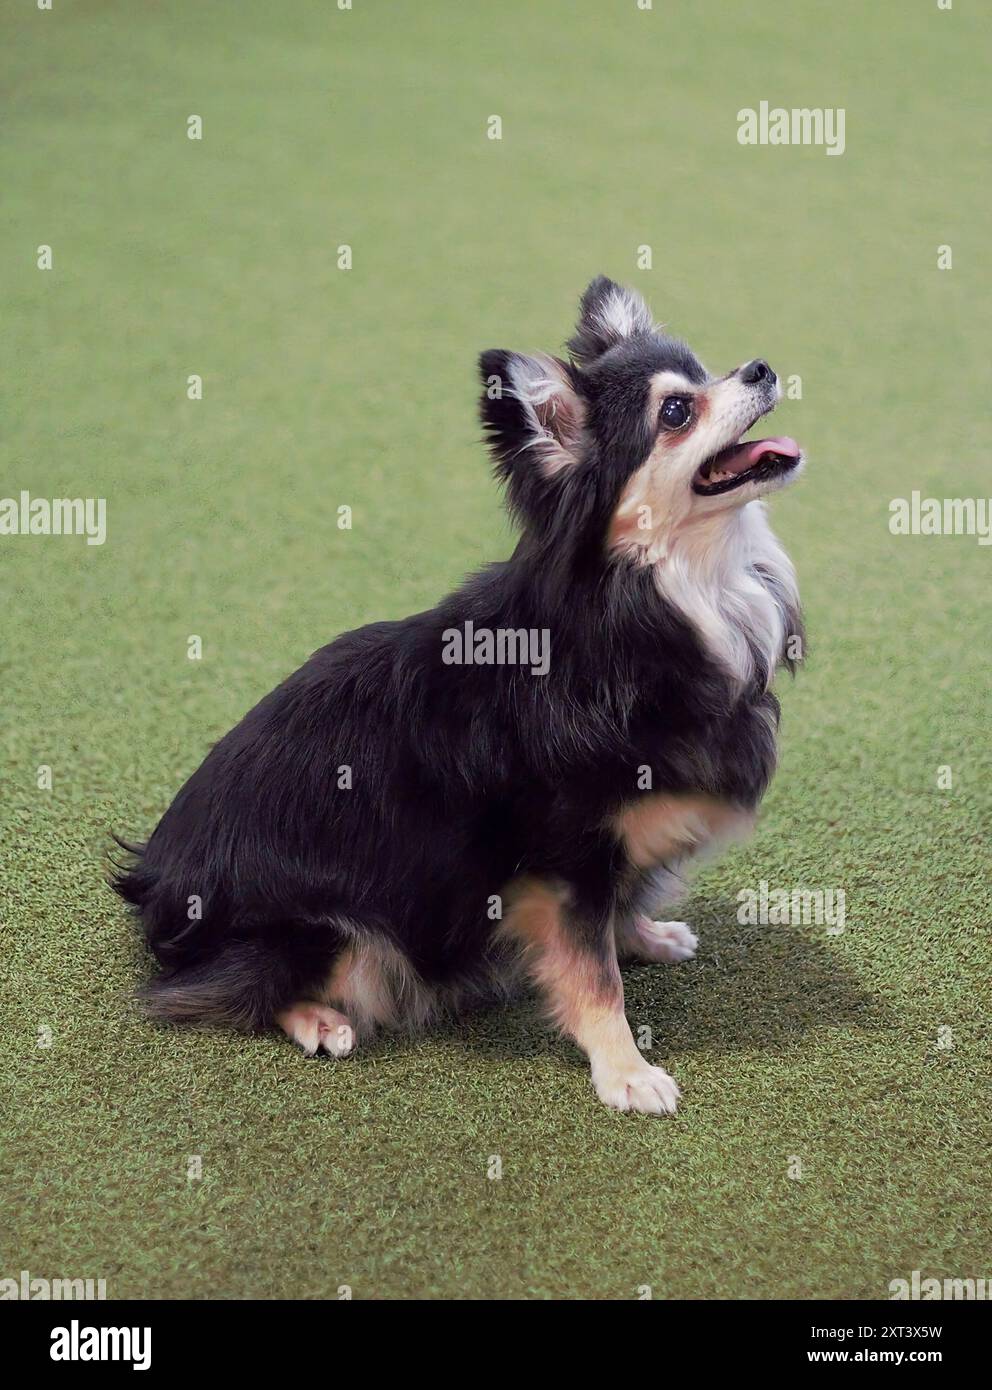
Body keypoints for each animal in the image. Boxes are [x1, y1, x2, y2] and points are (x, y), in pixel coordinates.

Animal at [113, 276, 805, 1112]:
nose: (761, 368)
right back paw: (320, 1020)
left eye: (706, 370)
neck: (666, 594)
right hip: (337, 926)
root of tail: (152, 879)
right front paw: (625, 1070)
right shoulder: (565, 860)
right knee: (234, 988)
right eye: (677, 411)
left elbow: (613, 919)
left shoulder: (602, 859)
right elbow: (592, 973)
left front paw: (645, 936)